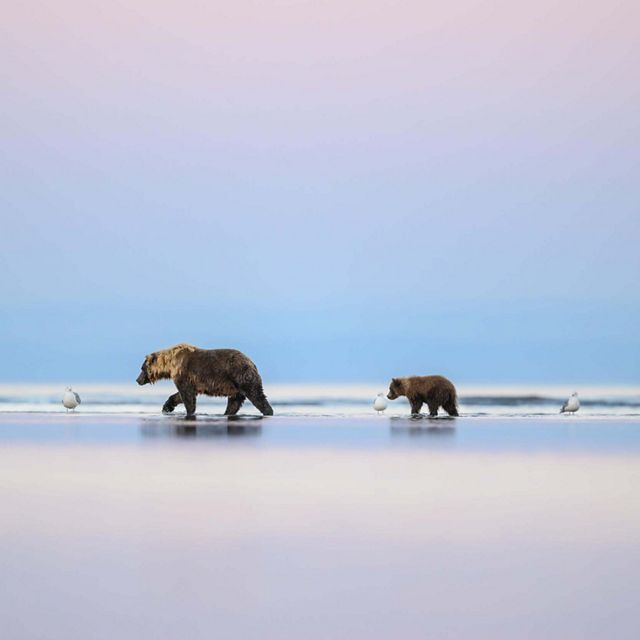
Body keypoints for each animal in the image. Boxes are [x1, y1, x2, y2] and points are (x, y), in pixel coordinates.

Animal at [136, 343, 274, 418]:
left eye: (142, 368)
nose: (138, 380)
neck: (170, 365)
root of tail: (252, 363)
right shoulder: (190, 381)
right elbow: (180, 395)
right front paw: (167, 407)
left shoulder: (183, 373)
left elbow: (187, 395)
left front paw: (189, 412)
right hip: (236, 387)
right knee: (234, 402)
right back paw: (226, 413)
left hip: (241, 376)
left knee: (256, 395)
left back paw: (268, 411)